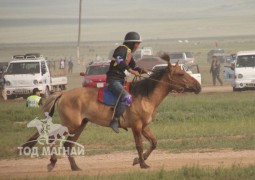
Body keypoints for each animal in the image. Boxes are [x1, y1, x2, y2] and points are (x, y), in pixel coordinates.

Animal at [21, 53, 201, 172]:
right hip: (71, 124)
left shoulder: (144, 127)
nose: (198, 86)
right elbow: (139, 144)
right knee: (53, 138)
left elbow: (154, 143)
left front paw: (137, 160)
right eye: (180, 74)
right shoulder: (137, 127)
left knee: (68, 145)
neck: (144, 96)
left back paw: (75, 167)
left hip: (80, 126)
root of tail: (64, 94)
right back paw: (52, 162)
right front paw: (142, 163)